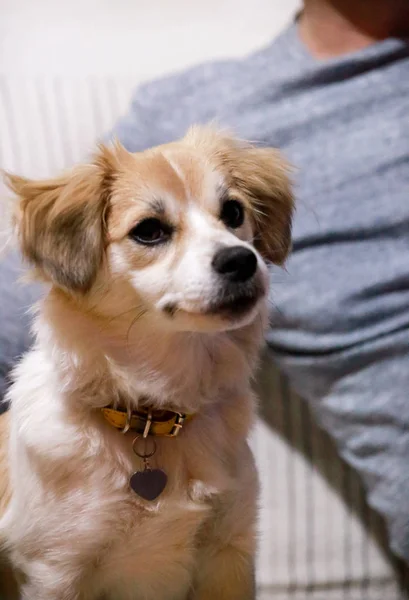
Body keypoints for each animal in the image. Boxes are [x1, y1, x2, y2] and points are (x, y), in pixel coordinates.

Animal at [0, 124, 294, 596]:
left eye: (233, 212)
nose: (241, 260)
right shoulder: (54, 570)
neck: (151, 414)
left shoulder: (229, 549)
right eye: (150, 231)